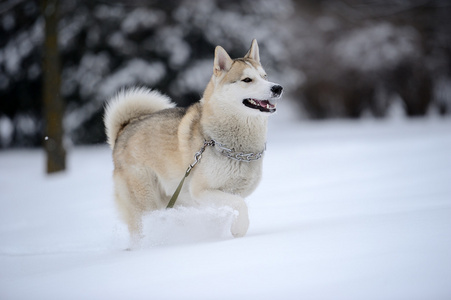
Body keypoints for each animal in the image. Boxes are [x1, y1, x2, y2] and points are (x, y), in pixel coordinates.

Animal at [104, 39, 284, 240]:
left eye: (265, 76)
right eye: (247, 80)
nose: (277, 88)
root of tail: (123, 130)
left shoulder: (233, 192)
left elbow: (236, 203)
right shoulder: (201, 191)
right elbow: (240, 205)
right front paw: (239, 229)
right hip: (145, 202)